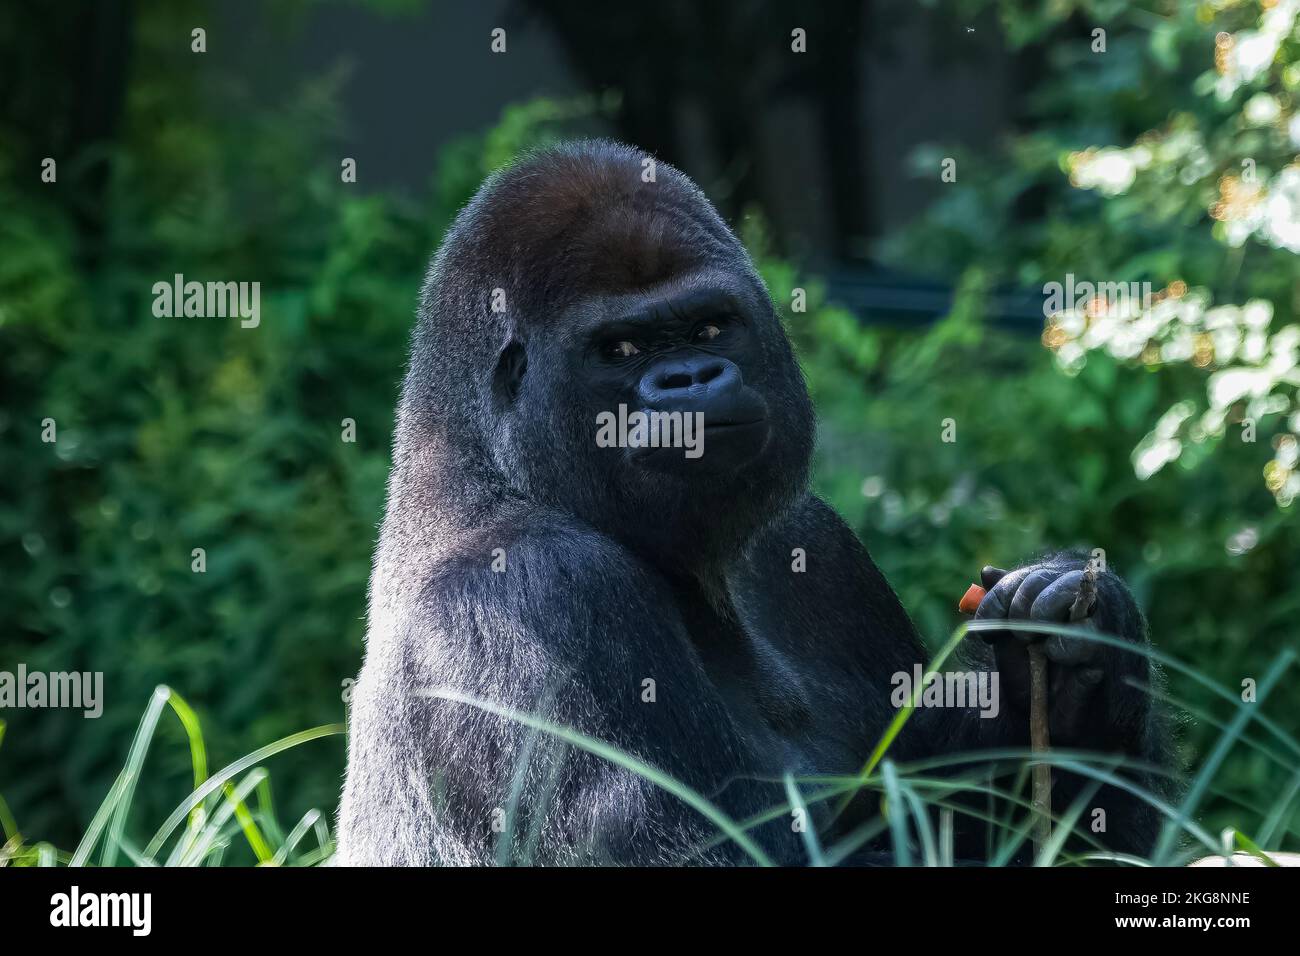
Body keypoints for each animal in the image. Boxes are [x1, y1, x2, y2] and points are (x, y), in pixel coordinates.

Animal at [335, 141, 1170, 868]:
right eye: (620, 349)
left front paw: (1078, 653)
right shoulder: (537, 595)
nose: (691, 378)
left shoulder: (814, 539)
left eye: (710, 326)